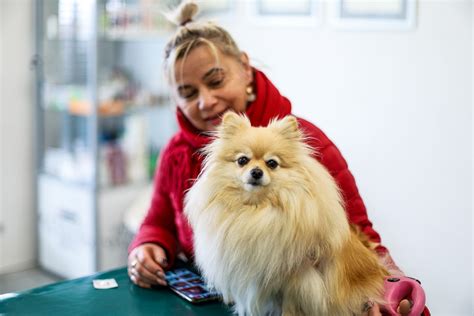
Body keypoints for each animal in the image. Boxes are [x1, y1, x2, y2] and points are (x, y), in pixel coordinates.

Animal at [183, 112, 386, 314]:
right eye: (242, 160)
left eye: (272, 163)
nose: (256, 172)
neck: (257, 209)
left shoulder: (295, 284)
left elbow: (289, 308)